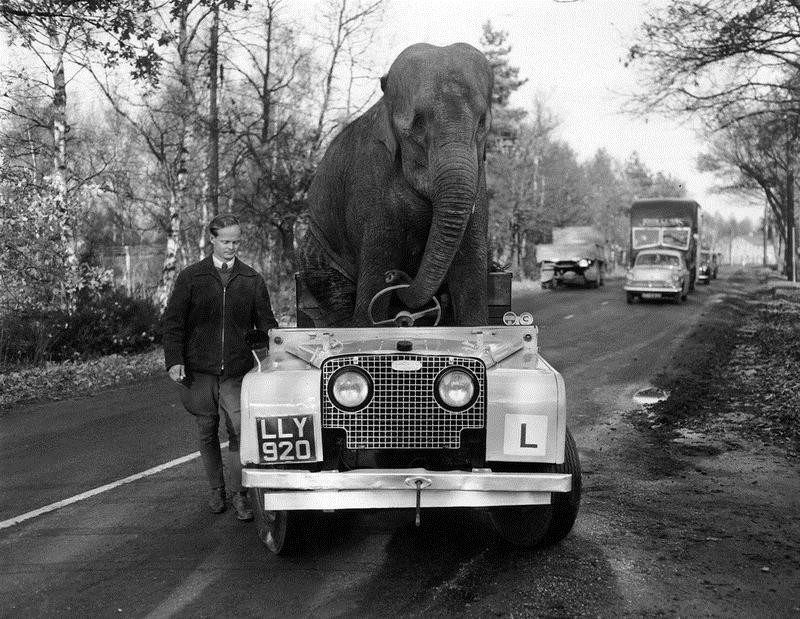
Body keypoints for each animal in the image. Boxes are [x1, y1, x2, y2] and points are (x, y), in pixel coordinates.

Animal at [297, 42, 493, 327]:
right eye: (418, 124)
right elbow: (376, 272)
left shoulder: (479, 177)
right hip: (317, 253)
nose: (395, 276)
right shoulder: (369, 183)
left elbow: (470, 269)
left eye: (481, 124)